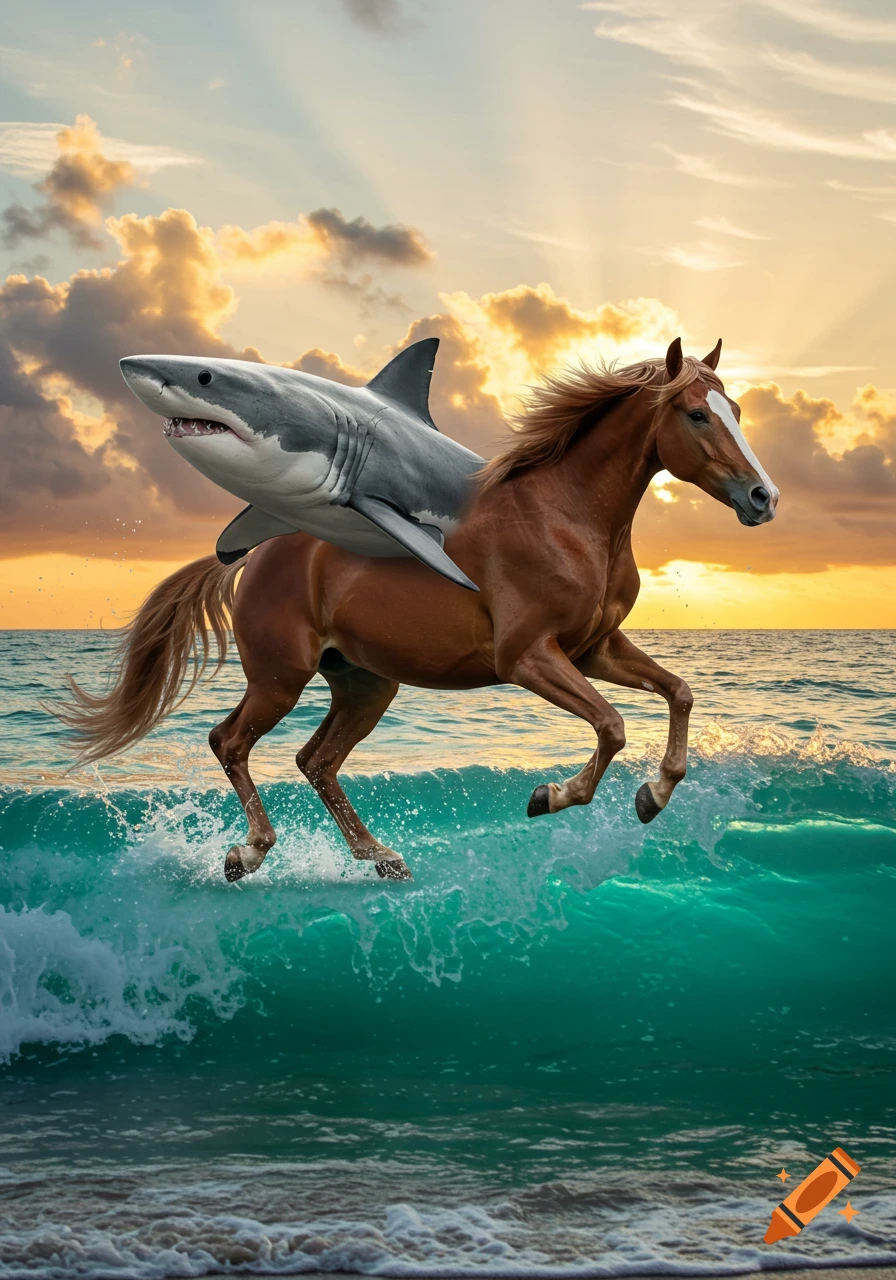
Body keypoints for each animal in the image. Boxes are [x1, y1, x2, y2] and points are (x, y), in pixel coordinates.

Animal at [57, 337, 778, 883]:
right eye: (697, 414)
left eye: (738, 409)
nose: (762, 497)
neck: (567, 515)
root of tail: (252, 555)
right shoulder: (527, 657)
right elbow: (612, 725)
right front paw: (551, 796)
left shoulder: (594, 648)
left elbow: (679, 693)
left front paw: (653, 795)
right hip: (279, 678)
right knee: (229, 741)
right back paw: (249, 853)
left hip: (365, 683)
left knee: (316, 760)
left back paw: (380, 856)